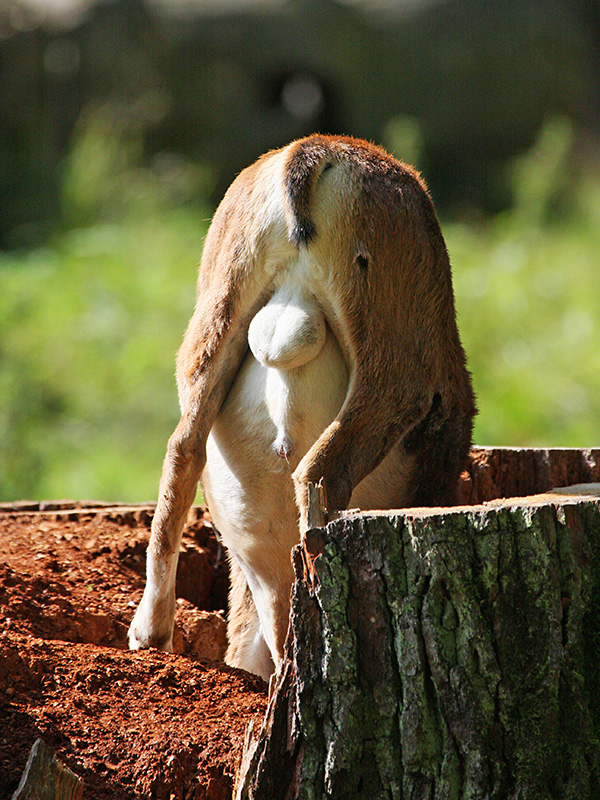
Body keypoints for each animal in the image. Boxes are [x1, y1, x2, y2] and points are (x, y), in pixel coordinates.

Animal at [129, 134, 476, 680]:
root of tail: (315, 150)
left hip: (214, 327)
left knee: (183, 455)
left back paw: (150, 633)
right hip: (386, 374)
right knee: (319, 475)